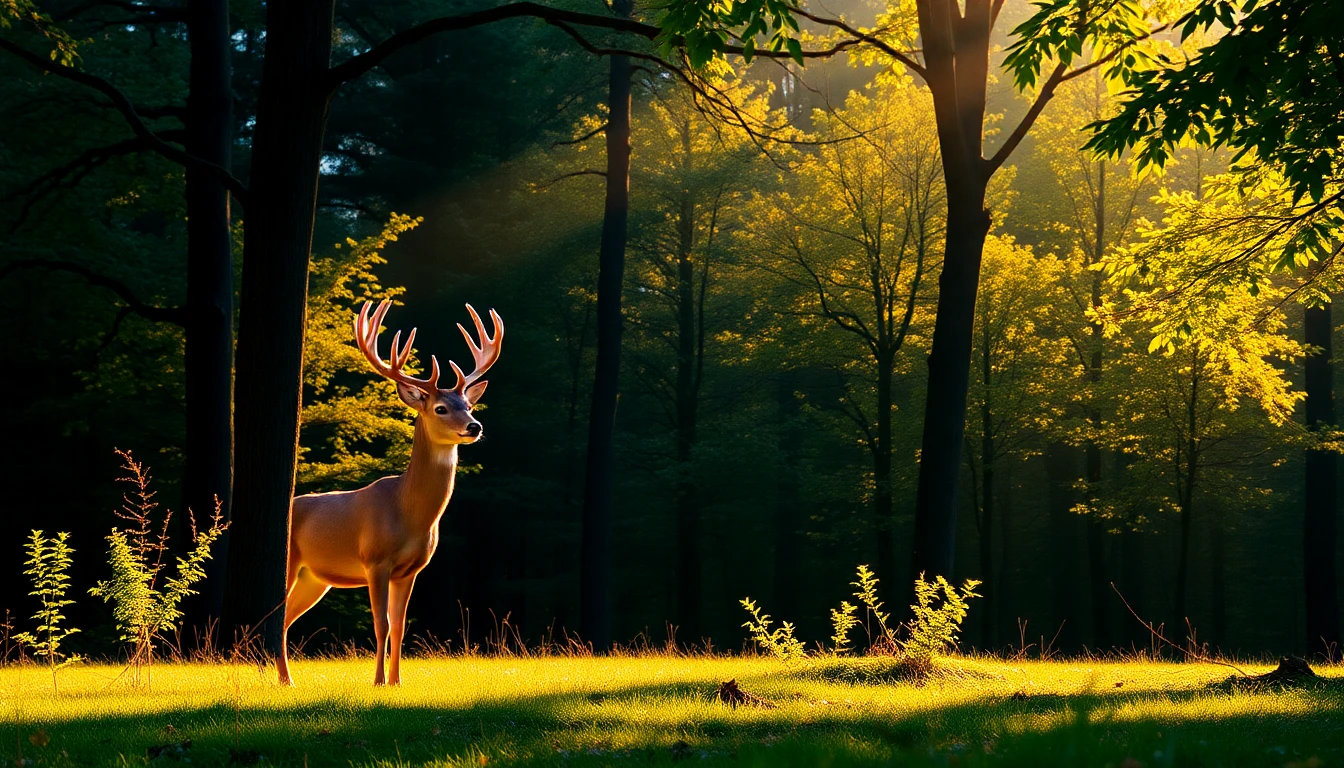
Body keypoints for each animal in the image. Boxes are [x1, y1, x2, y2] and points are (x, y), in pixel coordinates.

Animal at [276, 299, 503, 686]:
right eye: (441, 408)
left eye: (469, 406)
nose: (474, 426)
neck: (407, 511)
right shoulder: (375, 561)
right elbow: (380, 624)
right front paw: (378, 681)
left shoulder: (410, 570)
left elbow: (399, 626)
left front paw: (398, 681)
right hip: (291, 563)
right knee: (277, 617)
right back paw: (284, 679)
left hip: (314, 578)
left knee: (287, 618)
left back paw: (285, 678)